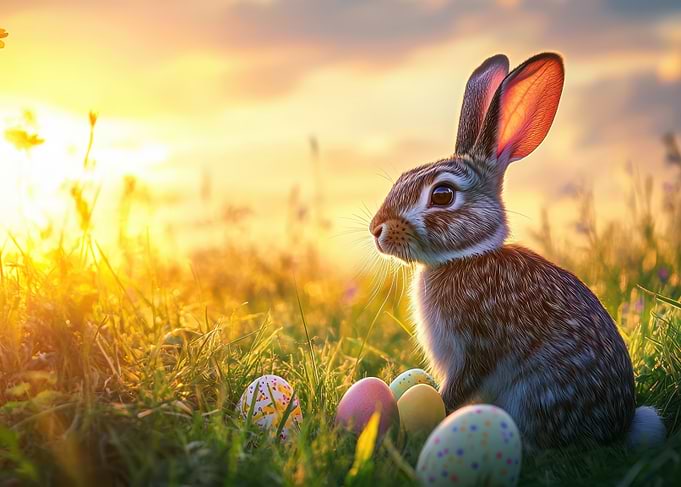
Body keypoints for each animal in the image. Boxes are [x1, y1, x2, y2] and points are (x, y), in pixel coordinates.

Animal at [369, 52, 666, 450]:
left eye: (442, 195)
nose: (377, 230)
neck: (467, 256)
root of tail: (619, 426)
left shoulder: (477, 347)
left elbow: (460, 387)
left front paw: (436, 413)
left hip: (537, 393)